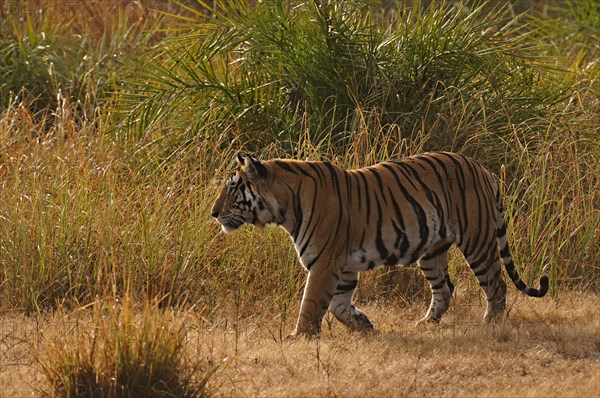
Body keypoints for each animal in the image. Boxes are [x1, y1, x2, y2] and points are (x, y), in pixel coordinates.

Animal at [211, 152, 548, 336]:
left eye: (233, 188)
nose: (213, 213)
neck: (284, 207)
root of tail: (483, 169)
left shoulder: (325, 263)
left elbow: (311, 304)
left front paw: (299, 336)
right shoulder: (343, 267)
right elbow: (338, 306)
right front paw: (364, 324)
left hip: (477, 241)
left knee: (496, 285)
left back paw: (490, 324)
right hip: (432, 251)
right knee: (445, 289)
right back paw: (426, 323)